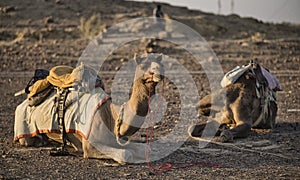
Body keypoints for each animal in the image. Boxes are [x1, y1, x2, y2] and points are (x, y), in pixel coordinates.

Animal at [13, 52, 164, 162]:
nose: (159, 73)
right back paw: (41, 141)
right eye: (143, 64)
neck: (112, 115)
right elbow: (126, 154)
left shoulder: (117, 140)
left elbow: (144, 149)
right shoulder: (90, 146)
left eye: (160, 64)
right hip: (24, 128)